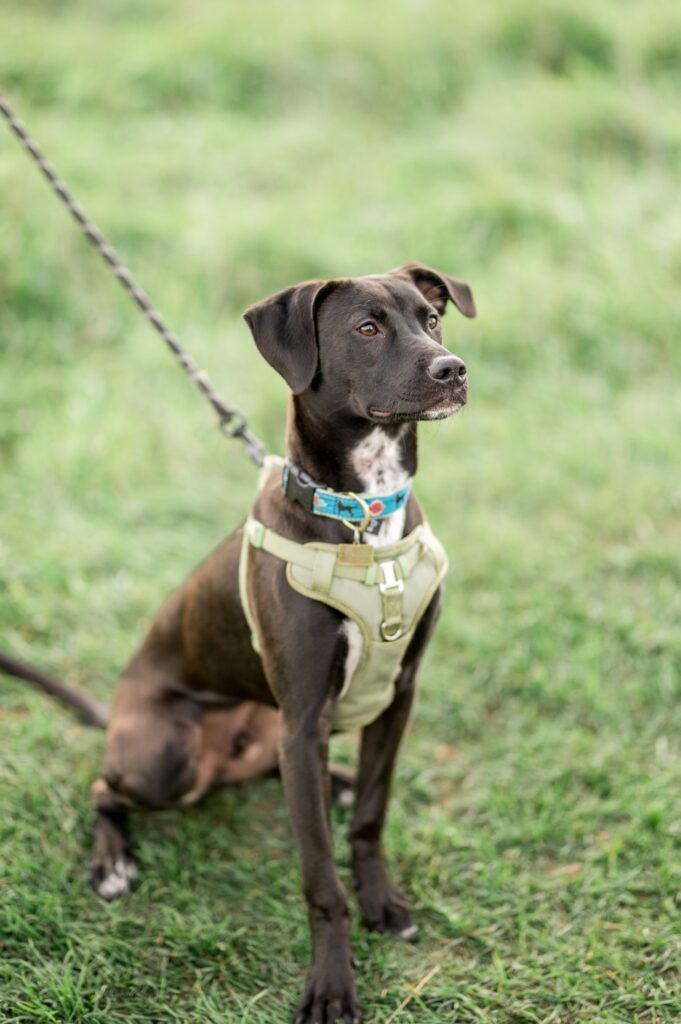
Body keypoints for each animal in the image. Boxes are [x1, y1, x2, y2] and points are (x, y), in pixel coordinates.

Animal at [10, 264, 475, 1024]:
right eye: (366, 328)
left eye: (431, 319)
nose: (452, 369)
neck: (364, 519)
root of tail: (117, 714)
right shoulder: (306, 716)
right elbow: (319, 878)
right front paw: (331, 983)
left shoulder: (395, 696)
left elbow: (371, 820)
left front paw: (381, 902)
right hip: (168, 755)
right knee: (104, 786)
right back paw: (111, 864)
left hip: (275, 729)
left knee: (279, 774)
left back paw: (333, 783)